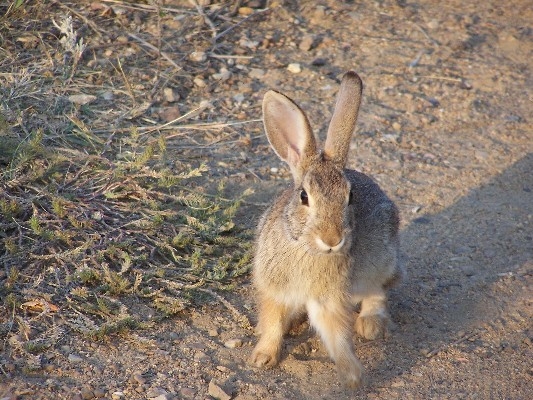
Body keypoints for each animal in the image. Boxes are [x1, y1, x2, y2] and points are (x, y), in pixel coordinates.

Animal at [249, 71, 400, 388]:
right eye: (304, 196)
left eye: (350, 196)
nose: (332, 239)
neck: (305, 248)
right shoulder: (274, 290)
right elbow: (272, 323)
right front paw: (262, 358)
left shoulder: (328, 298)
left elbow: (336, 335)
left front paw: (353, 376)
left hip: (380, 262)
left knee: (378, 292)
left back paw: (370, 325)